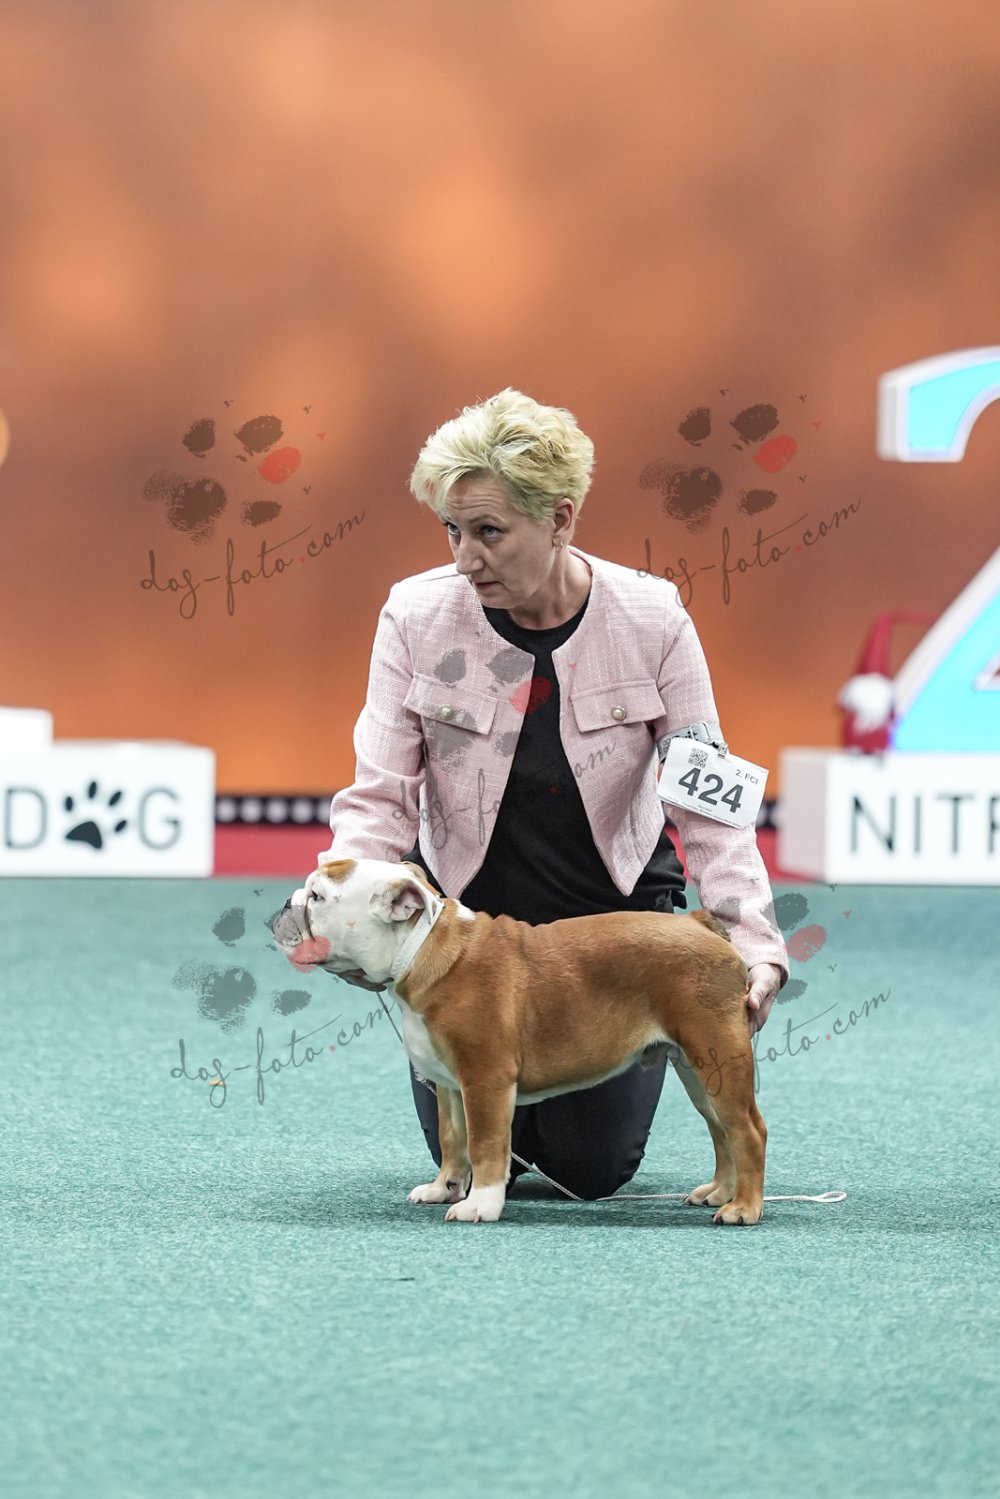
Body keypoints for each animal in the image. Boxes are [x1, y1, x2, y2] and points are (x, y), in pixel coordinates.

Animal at [269, 858, 767, 1226]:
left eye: (318, 897)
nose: (285, 904)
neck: (420, 945)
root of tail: (701, 924)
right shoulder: (451, 1086)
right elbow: (454, 1139)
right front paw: (444, 1188)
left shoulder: (485, 1081)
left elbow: (486, 1144)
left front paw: (480, 1205)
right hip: (696, 1069)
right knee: (720, 1128)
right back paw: (719, 1192)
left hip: (717, 1056)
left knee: (747, 1130)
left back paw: (743, 1208)